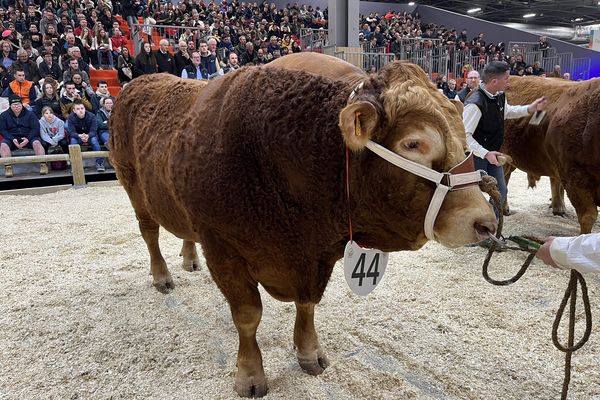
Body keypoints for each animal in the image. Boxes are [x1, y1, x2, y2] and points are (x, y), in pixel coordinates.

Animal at [109, 55, 496, 396]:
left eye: (465, 139)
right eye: (414, 143)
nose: (485, 222)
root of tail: (140, 82)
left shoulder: (316, 256)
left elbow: (308, 304)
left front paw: (310, 353)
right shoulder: (223, 247)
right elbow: (248, 316)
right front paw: (250, 375)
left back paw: (190, 259)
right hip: (133, 186)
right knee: (149, 233)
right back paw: (162, 276)